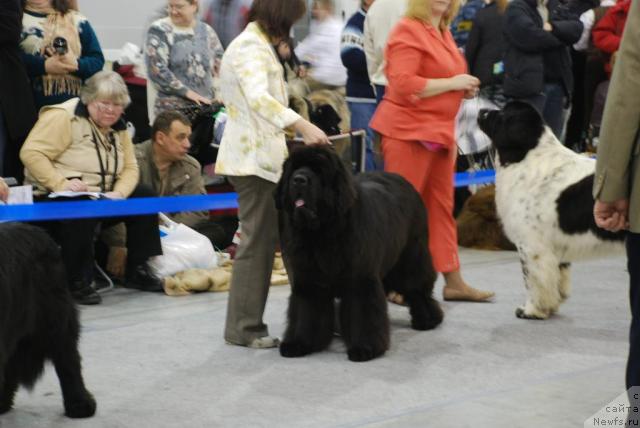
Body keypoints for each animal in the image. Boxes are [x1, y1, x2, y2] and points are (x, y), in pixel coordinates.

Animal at [276, 145, 444, 362]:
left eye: (319, 171)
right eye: (294, 168)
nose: (299, 179)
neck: (322, 233)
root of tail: (405, 182)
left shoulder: (360, 279)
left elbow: (362, 312)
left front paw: (365, 348)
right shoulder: (308, 280)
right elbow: (306, 312)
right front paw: (298, 343)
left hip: (410, 258)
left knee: (418, 288)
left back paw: (428, 319)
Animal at [480, 102, 624, 320]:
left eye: (503, 113)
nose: (481, 111)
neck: (525, 157)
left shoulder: (531, 246)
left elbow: (533, 280)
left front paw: (531, 310)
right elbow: (557, 278)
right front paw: (551, 305)